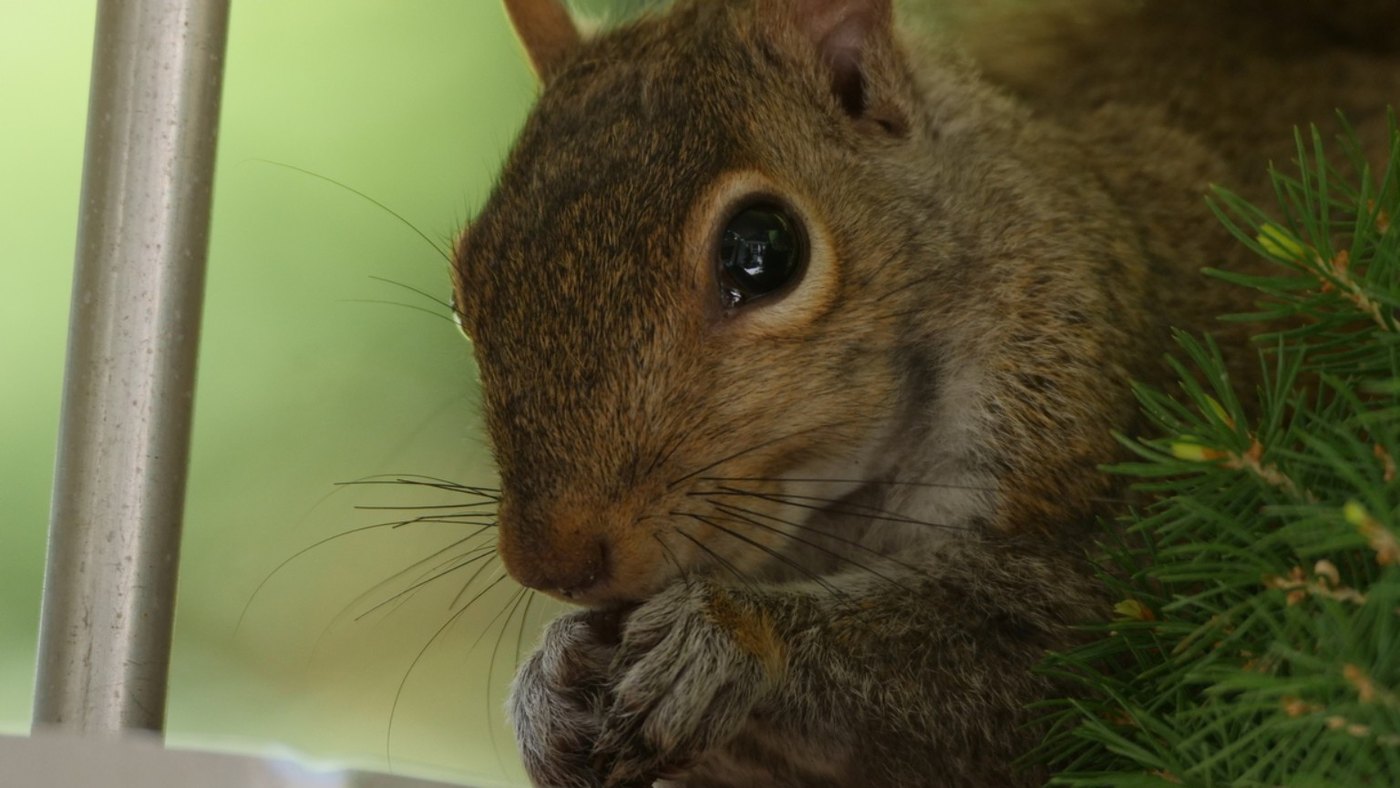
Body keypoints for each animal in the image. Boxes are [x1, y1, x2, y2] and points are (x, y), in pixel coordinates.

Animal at [447, 1, 1400, 785]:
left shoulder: (1106, 475)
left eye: (763, 251)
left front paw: (726, 637)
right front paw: (550, 681)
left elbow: (1058, 645)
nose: (551, 563)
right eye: (465, 290)